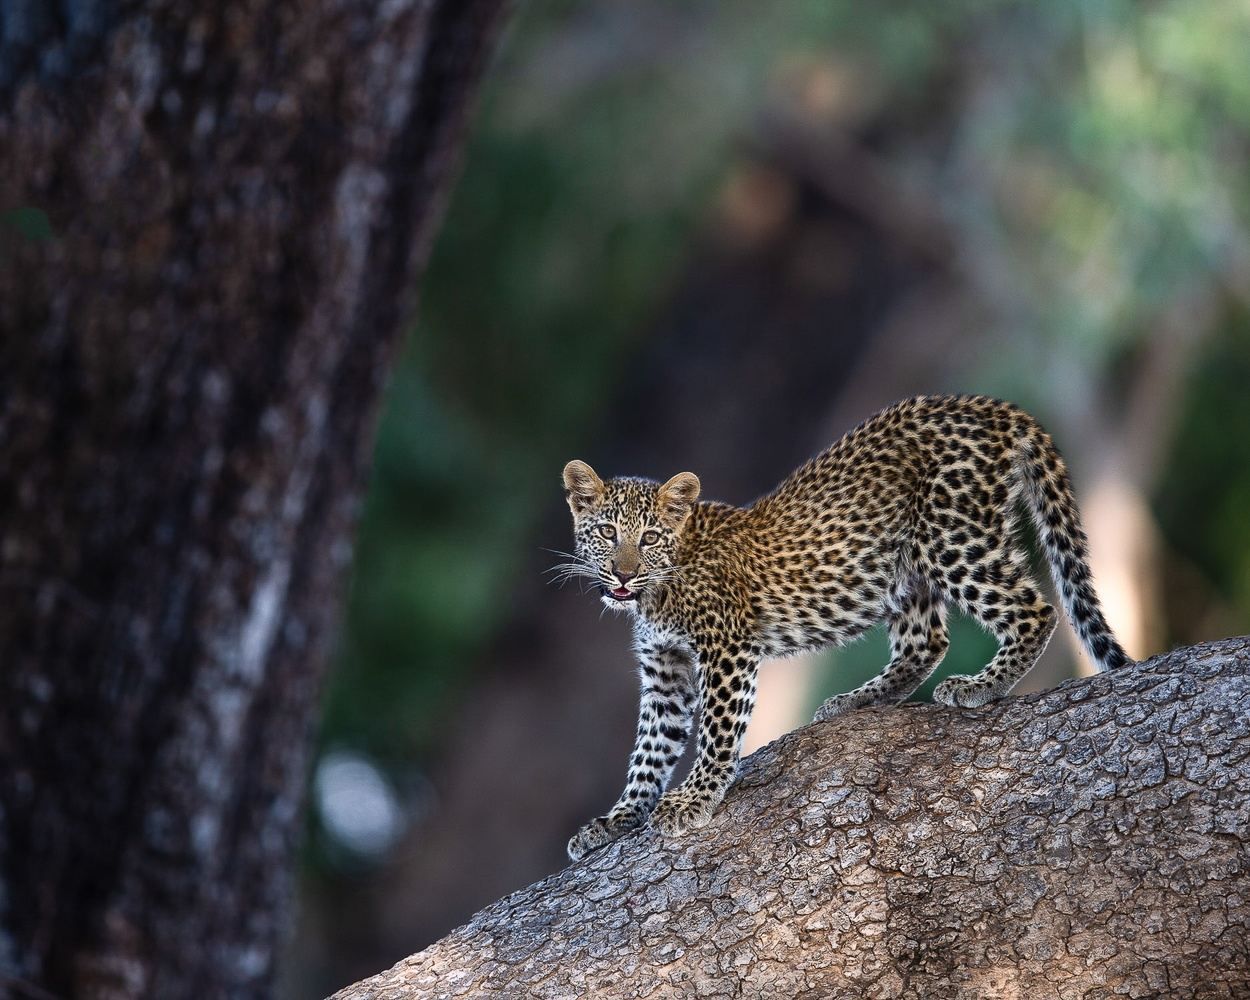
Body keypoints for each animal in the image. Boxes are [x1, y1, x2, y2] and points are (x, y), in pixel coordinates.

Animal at [556, 394, 1132, 861]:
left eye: (649, 537)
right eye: (607, 533)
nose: (622, 574)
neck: (656, 591)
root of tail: (989, 407)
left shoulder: (726, 648)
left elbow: (718, 730)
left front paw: (696, 797)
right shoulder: (665, 669)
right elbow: (649, 748)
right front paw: (617, 819)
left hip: (950, 540)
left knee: (1034, 608)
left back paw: (980, 686)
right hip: (902, 570)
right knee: (927, 640)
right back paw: (857, 700)